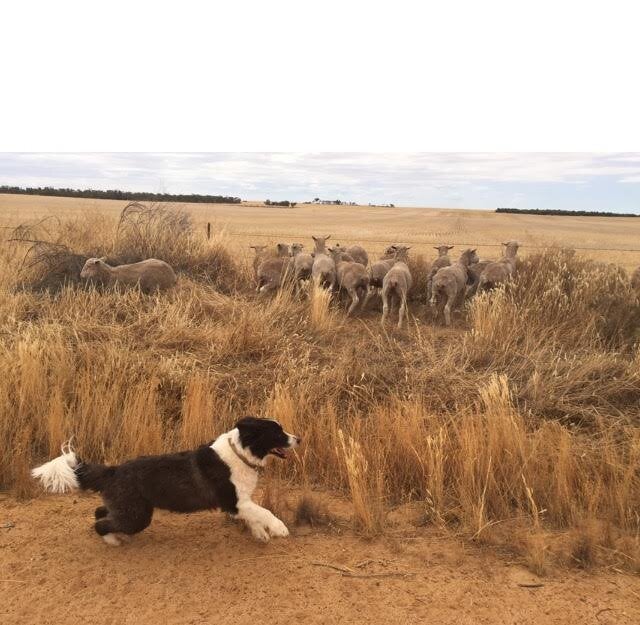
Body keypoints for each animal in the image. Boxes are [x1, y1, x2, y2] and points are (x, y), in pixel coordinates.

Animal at [30, 416, 300, 544]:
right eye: (277, 432)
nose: (299, 438)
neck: (239, 454)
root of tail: (113, 471)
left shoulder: (239, 503)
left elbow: (254, 515)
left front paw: (260, 534)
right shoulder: (235, 501)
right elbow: (264, 512)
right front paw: (279, 529)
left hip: (130, 508)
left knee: (100, 511)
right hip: (136, 515)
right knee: (101, 524)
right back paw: (113, 540)